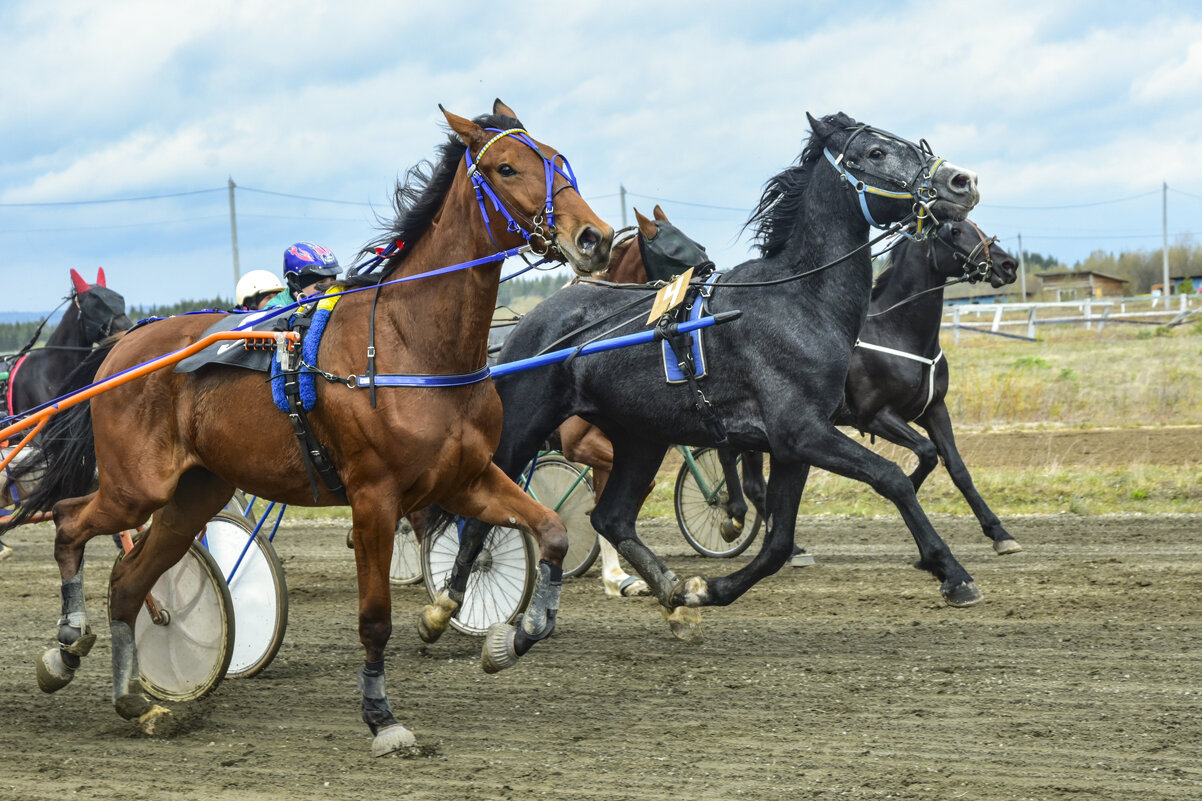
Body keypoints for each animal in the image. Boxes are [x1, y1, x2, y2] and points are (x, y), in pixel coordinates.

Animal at [423, 107, 985, 668]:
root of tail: (525, 325)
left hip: (640, 438)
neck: (800, 299)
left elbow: (778, 543)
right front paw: (952, 572)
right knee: (476, 514)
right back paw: (447, 606)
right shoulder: (803, 433)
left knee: (612, 517)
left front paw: (702, 591)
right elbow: (891, 479)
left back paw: (669, 595)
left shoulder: (793, 445)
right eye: (875, 152)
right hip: (522, 426)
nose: (963, 181)